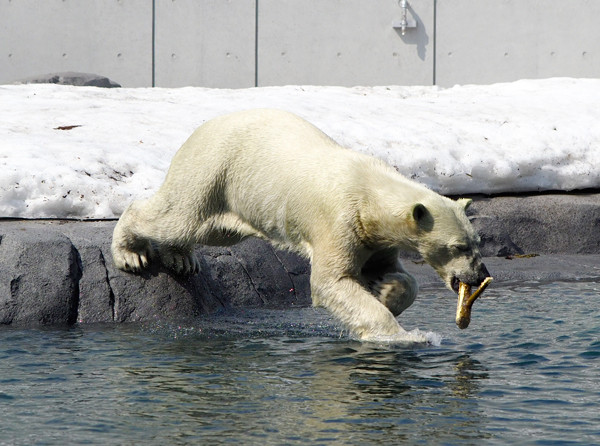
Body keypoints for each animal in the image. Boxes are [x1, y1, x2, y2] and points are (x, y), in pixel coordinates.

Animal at [111, 110, 488, 340]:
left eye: (477, 242)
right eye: (458, 247)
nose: (479, 274)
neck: (371, 189)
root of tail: (201, 128)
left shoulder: (373, 236)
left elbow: (388, 271)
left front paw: (387, 291)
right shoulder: (340, 221)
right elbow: (330, 281)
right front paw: (402, 336)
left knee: (212, 230)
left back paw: (181, 259)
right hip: (215, 169)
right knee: (178, 216)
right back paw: (130, 252)